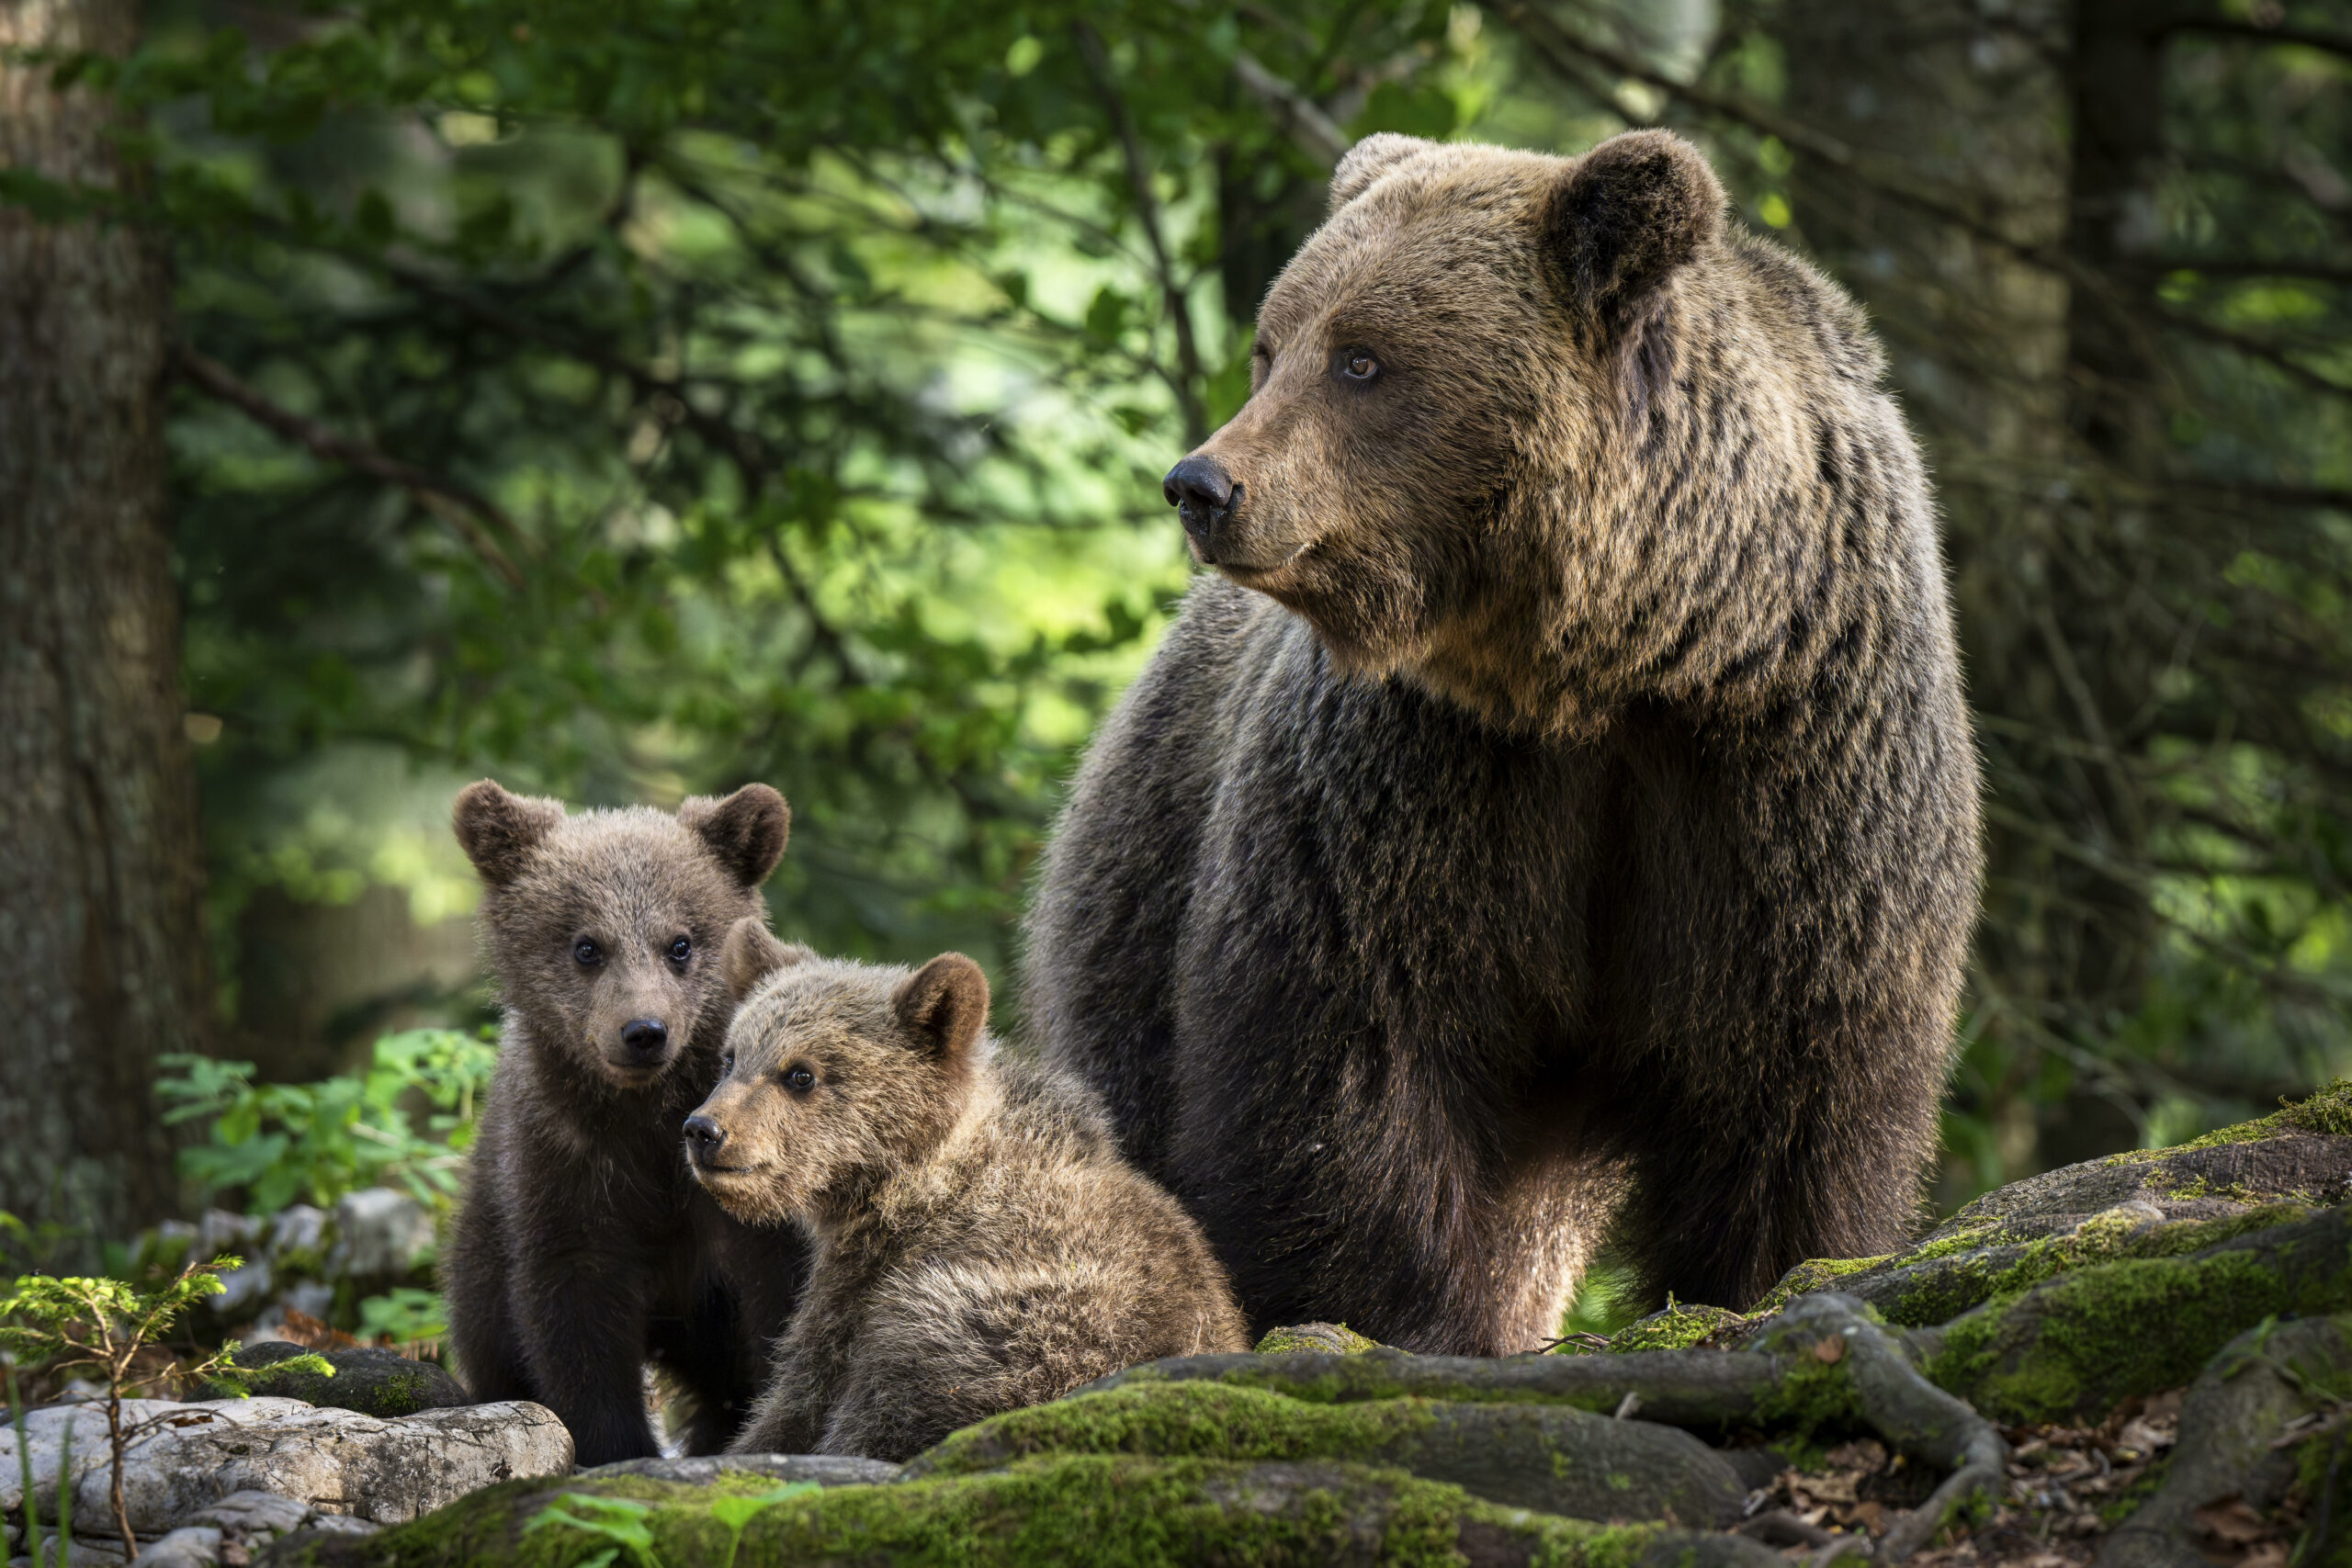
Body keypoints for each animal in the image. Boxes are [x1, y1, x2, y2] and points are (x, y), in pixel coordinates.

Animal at [1025, 135, 1984, 1354]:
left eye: (1361, 359)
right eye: (1270, 345)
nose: (1202, 484)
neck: (1623, 664)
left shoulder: (1788, 768)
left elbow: (1792, 1087)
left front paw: (1774, 1269)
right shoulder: (1420, 784)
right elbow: (1352, 1059)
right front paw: (1401, 1319)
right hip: (1136, 906)